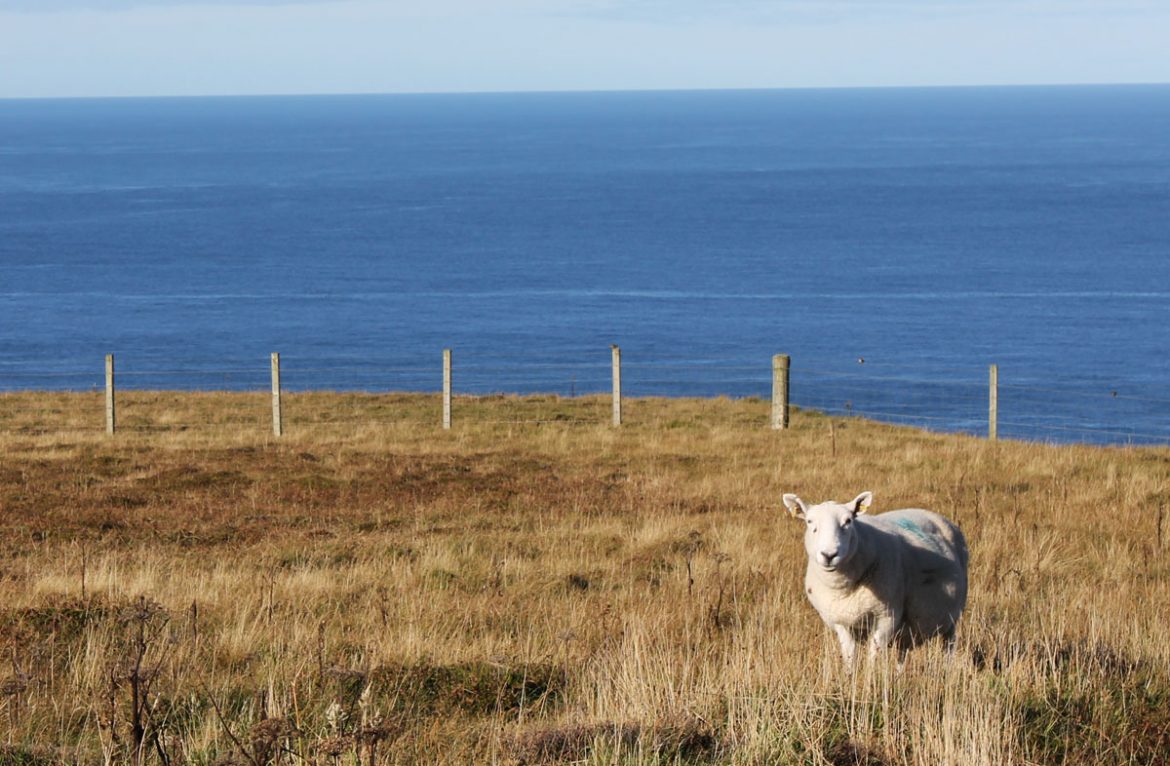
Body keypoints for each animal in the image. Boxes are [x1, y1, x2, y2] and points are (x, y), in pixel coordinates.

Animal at [782, 491, 968, 667]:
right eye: (809, 521)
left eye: (848, 521)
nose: (829, 555)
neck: (843, 589)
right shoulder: (841, 622)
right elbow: (849, 657)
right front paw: (850, 677)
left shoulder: (887, 616)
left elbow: (874, 657)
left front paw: (871, 678)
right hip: (908, 629)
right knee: (903, 652)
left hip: (953, 617)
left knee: (949, 645)